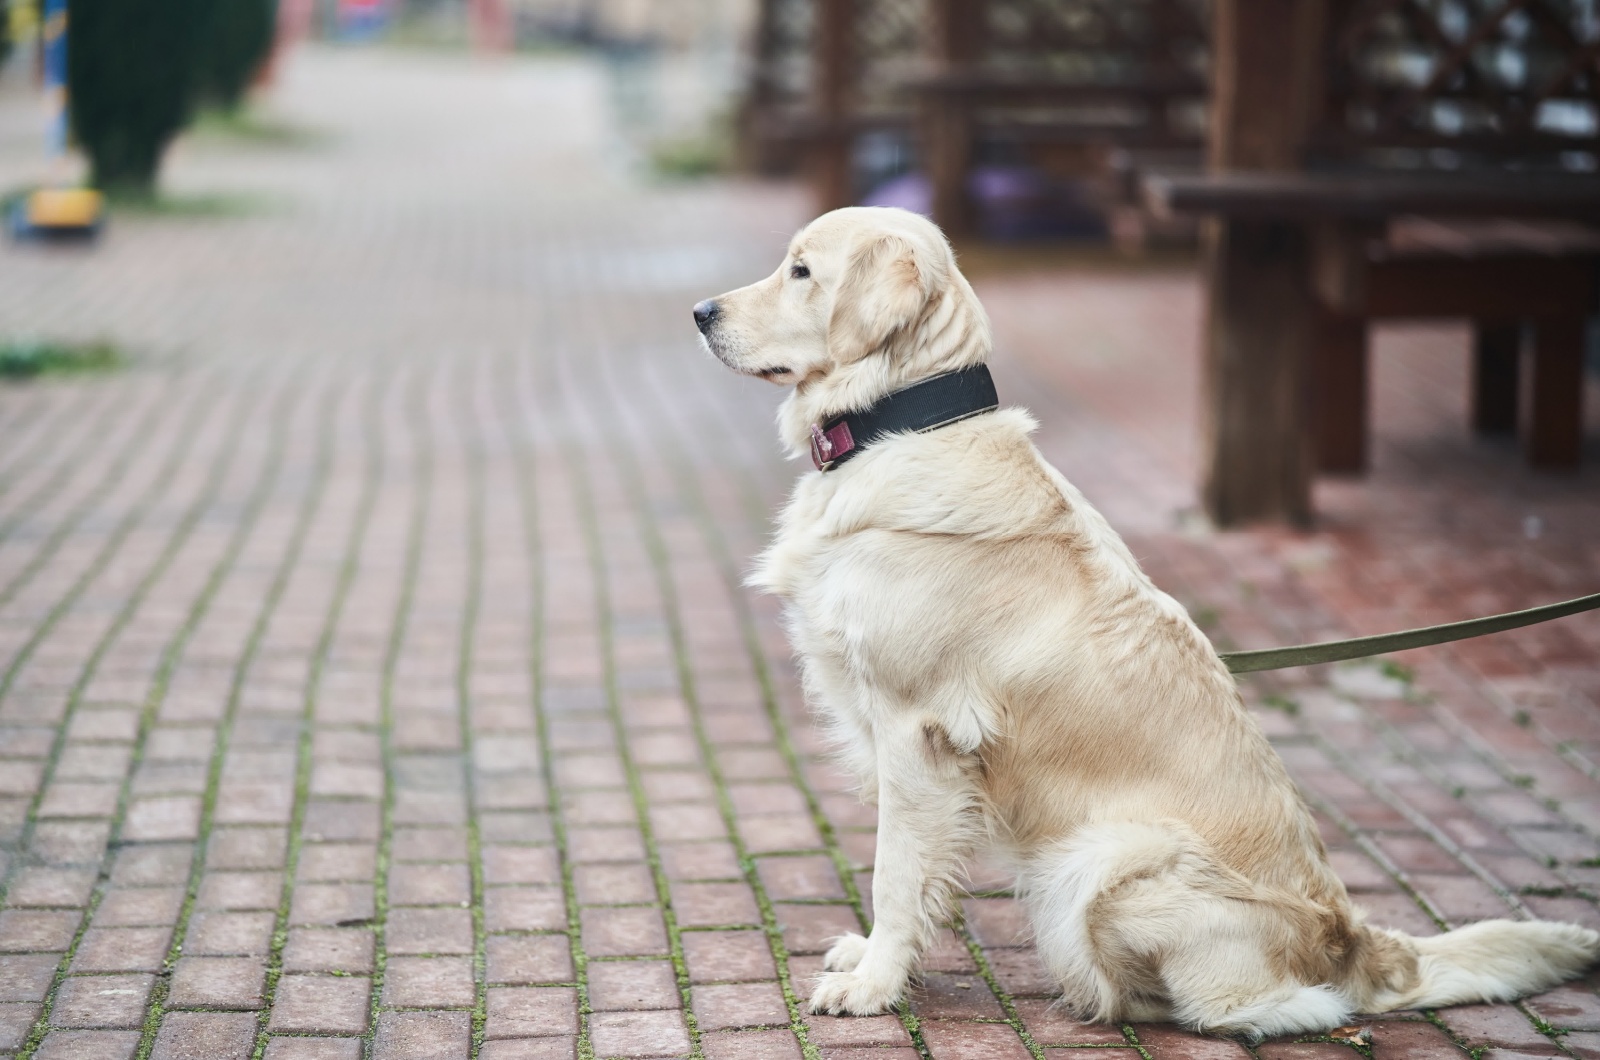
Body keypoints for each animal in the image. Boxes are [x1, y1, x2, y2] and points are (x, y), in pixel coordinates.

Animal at [697, 204, 1600, 1037]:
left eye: (801, 271)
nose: (702, 312)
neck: (903, 420)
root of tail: (1355, 939)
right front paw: (871, 958)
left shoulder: (916, 732)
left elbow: (895, 872)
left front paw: (874, 984)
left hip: (1103, 863)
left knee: (1283, 1007)